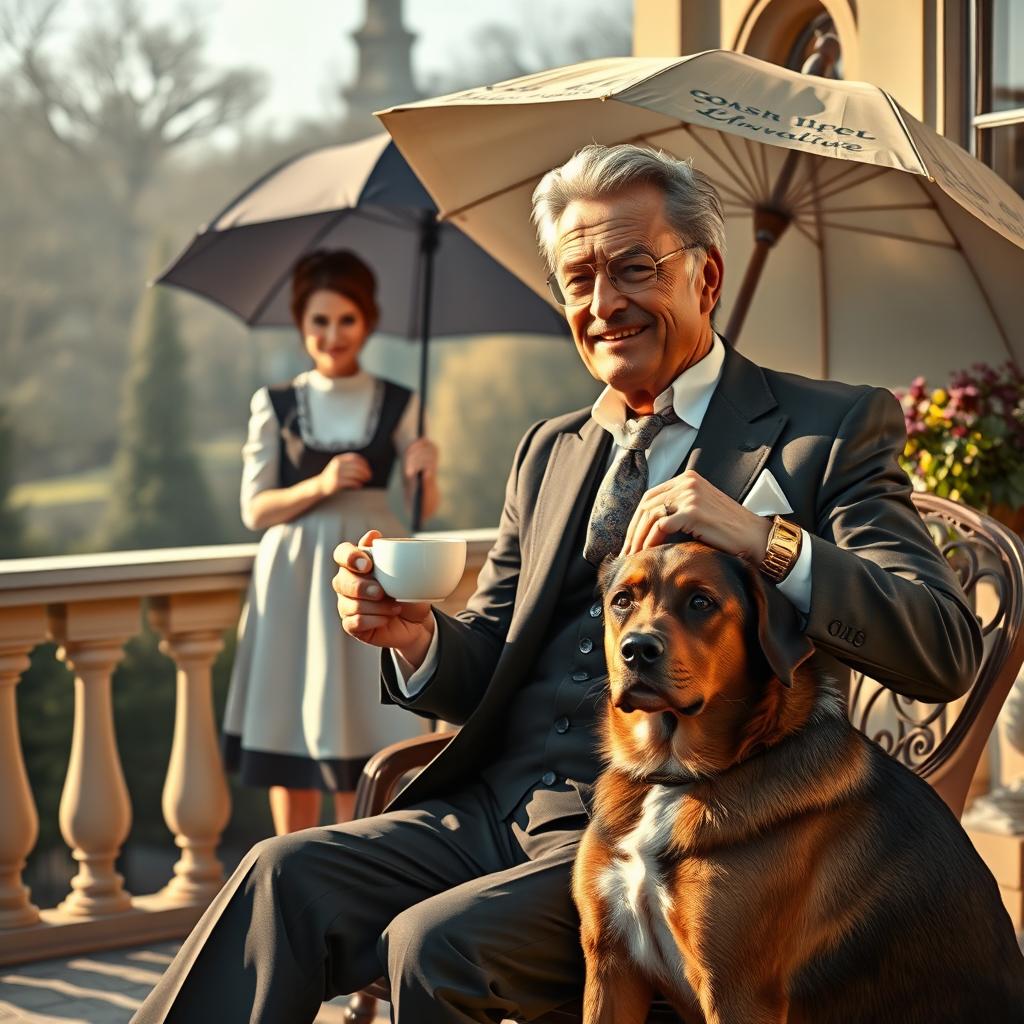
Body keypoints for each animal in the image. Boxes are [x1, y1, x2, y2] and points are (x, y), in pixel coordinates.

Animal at [573, 540, 1024, 1019]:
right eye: (623, 600)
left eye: (701, 602)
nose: (637, 650)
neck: (673, 777)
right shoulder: (609, 962)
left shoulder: (737, 992)